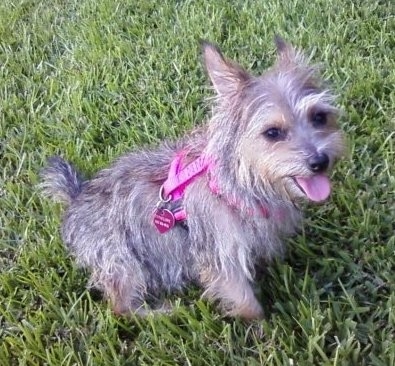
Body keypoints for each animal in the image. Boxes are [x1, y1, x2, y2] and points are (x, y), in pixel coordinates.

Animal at [38, 35, 344, 318]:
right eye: (272, 133)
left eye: (319, 117)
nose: (320, 161)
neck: (240, 183)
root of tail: (76, 196)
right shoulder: (220, 256)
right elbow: (246, 302)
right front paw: (263, 331)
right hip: (122, 261)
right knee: (121, 306)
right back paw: (162, 313)